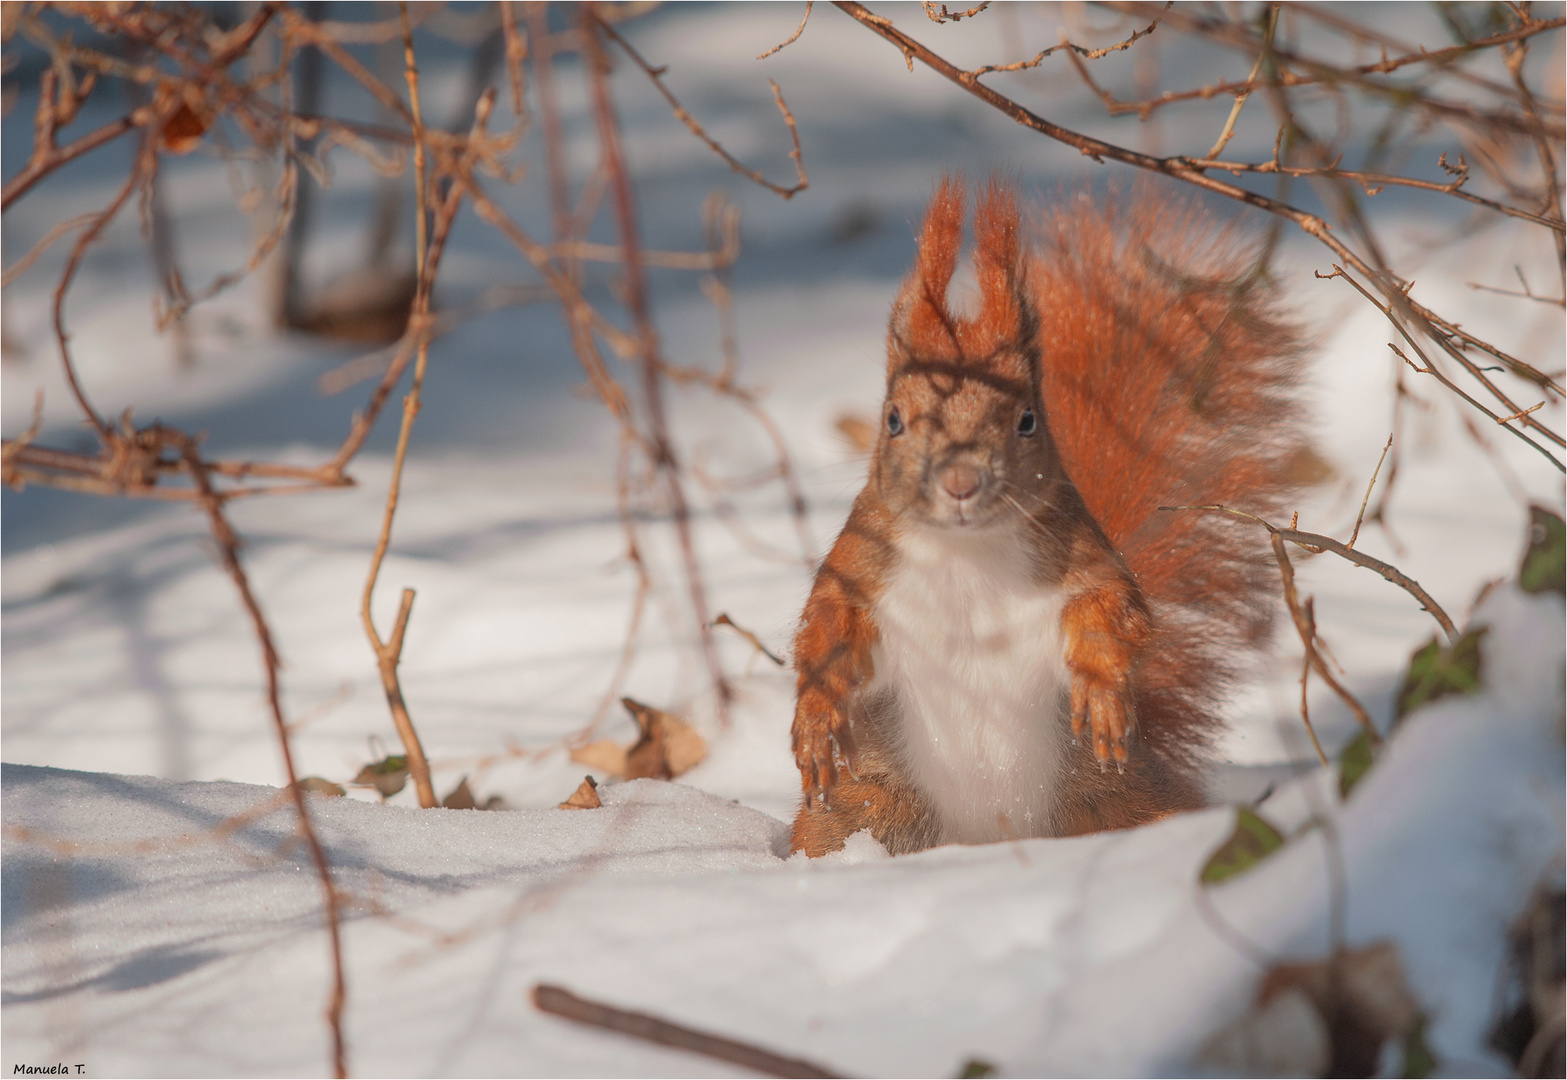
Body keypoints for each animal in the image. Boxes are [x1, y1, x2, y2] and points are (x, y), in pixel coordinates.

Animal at [789, 177, 1303, 852]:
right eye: (893, 419)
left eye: (1027, 419)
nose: (960, 482)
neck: (966, 556)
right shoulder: (860, 566)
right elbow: (825, 629)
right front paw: (816, 718)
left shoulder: (1088, 560)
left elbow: (1118, 615)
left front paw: (1103, 689)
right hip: (869, 804)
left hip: (1108, 798)